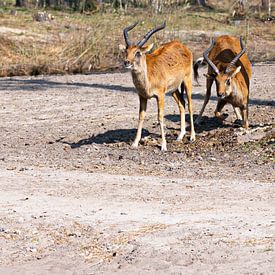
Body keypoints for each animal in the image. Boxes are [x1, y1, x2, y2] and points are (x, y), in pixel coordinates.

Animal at [121, 21, 196, 152]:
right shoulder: (142, 96)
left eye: (138, 52)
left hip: (187, 80)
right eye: (126, 50)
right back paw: (180, 136)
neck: (149, 79)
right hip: (173, 89)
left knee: (190, 105)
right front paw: (135, 143)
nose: (127, 62)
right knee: (182, 103)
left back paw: (192, 137)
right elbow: (141, 116)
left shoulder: (160, 95)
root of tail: (183, 46)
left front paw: (164, 146)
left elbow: (160, 117)